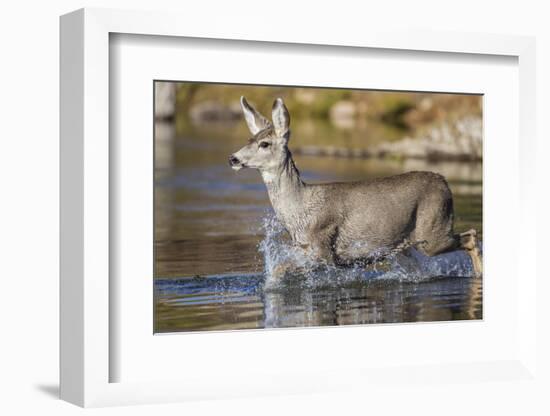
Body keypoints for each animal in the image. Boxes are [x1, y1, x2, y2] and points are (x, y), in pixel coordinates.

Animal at [229, 97, 484, 280]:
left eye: (265, 144)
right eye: (249, 140)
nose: (233, 158)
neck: (299, 209)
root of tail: (444, 182)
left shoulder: (322, 249)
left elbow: (279, 268)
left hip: (432, 230)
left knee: (471, 236)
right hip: (403, 246)